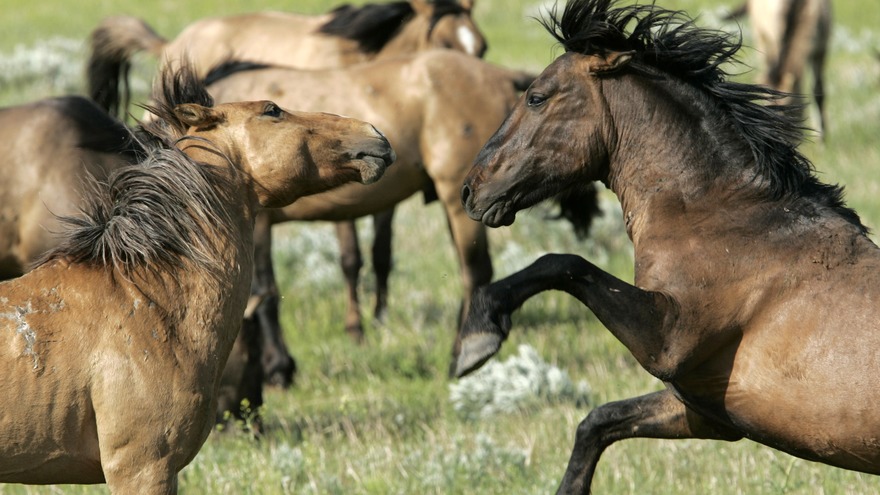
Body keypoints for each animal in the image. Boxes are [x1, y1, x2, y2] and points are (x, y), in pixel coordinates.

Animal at [458, 0, 880, 492]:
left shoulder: (668, 342)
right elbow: (597, 422)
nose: (470, 190)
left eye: (537, 97)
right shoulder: (708, 412)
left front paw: (477, 336)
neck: (725, 217)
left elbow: (562, 263)